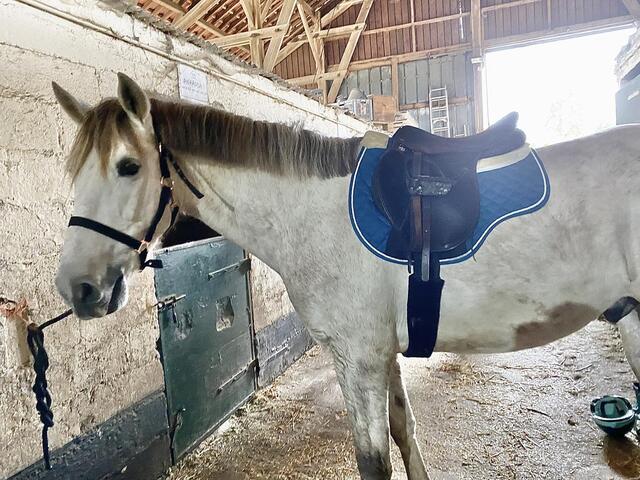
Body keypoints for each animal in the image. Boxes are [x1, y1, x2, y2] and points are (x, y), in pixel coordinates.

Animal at [52, 73, 640, 480]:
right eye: (73, 172)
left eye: (129, 167)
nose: (78, 288)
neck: (317, 212)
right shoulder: (382, 356)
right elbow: (406, 433)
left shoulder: (357, 359)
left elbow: (373, 461)